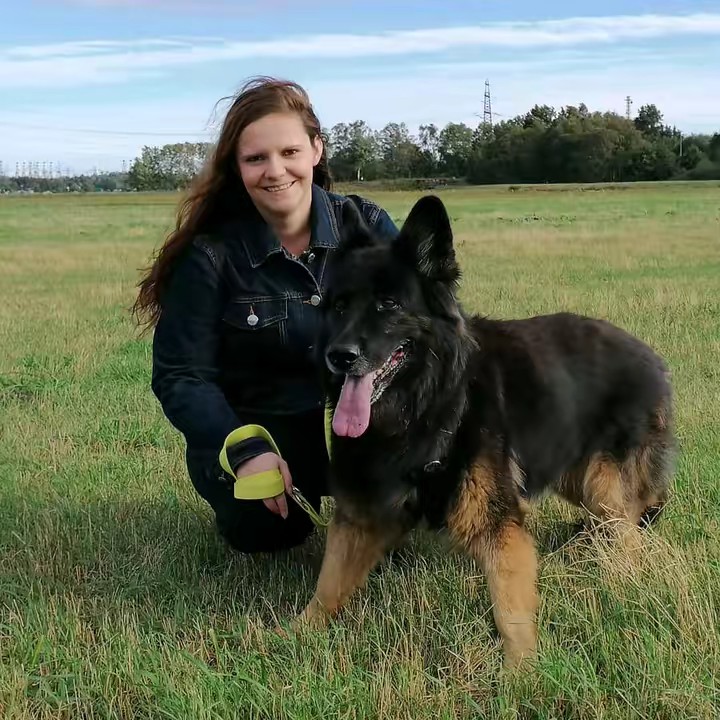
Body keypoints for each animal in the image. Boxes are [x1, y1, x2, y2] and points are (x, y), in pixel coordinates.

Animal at [295, 194, 675, 667]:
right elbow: (327, 586)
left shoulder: (498, 524)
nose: (339, 356)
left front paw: (521, 671)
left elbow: (510, 609)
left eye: (388, 304)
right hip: (578, 475)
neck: (429, 404)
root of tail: (652, 359)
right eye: (340, 306)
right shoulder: (361, 513)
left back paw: (620, 581)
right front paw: (289, 637)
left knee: (627, 534)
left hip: (606, 485)